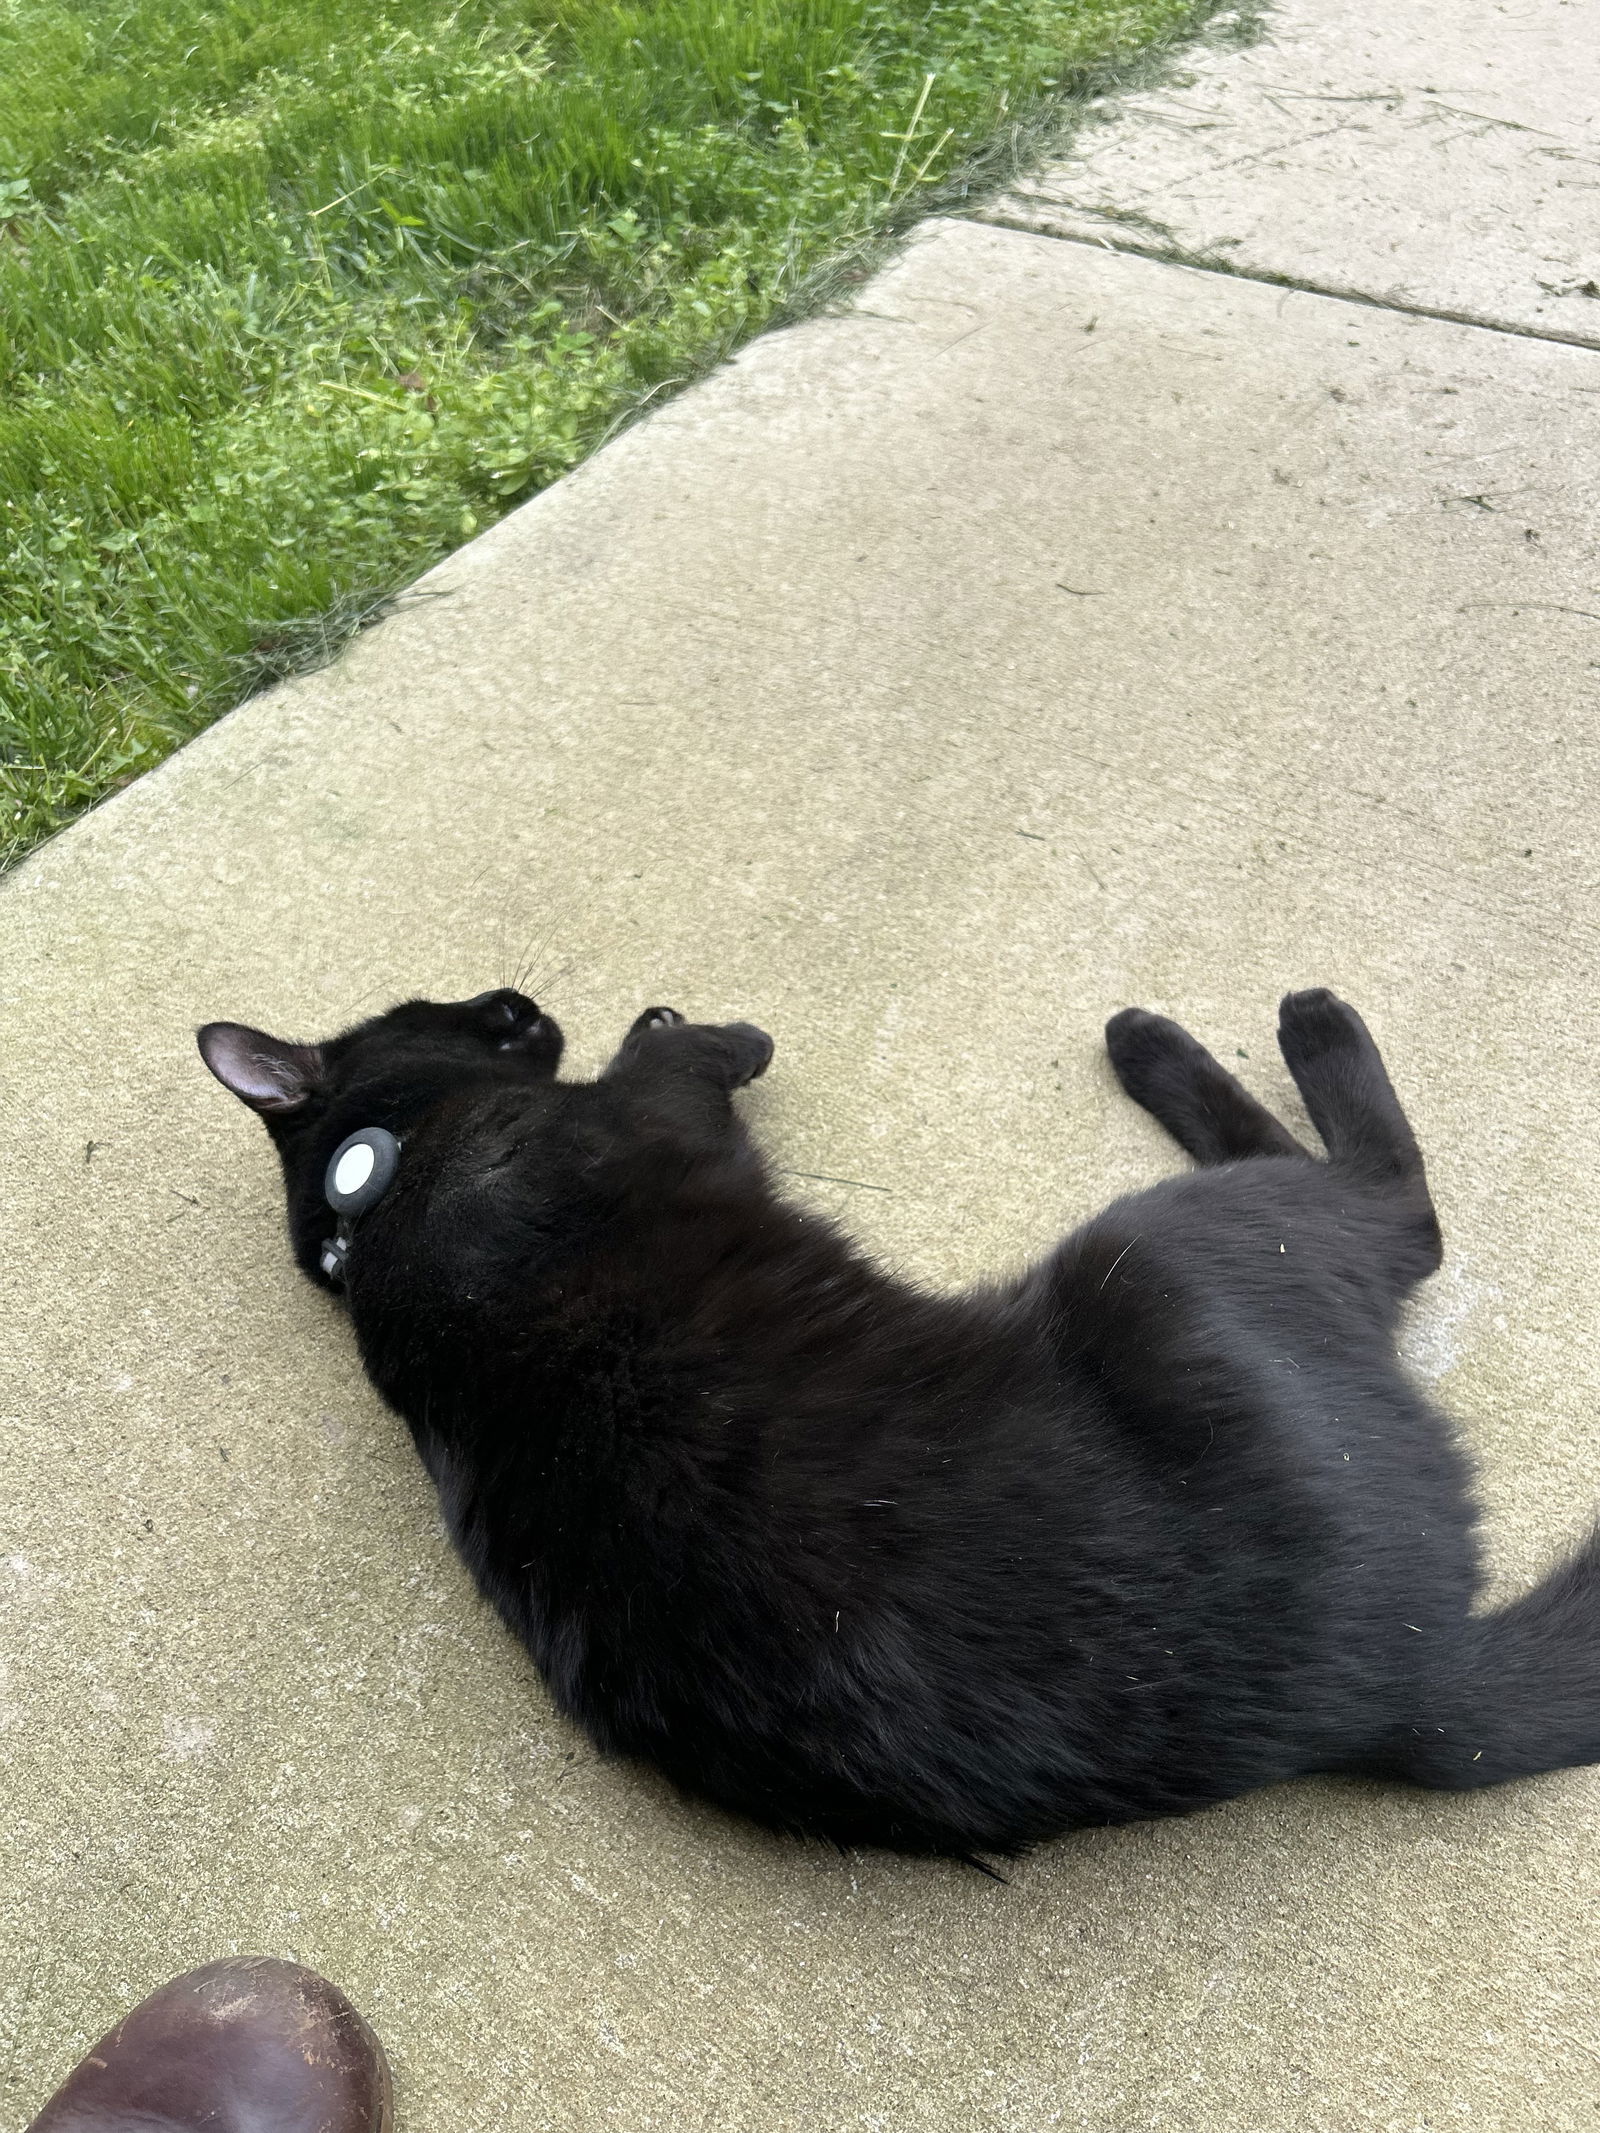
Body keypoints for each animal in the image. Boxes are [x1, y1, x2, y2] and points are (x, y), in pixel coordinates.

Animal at [200, 989, 1600, 1859]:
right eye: (457, 1012)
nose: (522, 1000)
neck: (380, 1201)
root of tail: (1400, 1683)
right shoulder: (640, 1113)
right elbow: (681, 1065)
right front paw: (709, 1028)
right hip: (1155, 1253)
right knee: (1392, 1209)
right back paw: (1241, 1028)